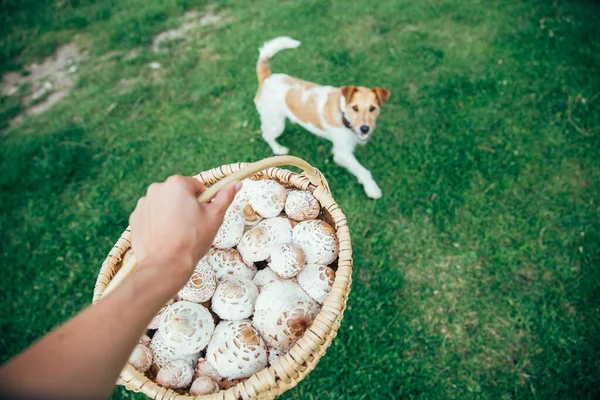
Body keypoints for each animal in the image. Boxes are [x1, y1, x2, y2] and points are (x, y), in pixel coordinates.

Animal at [254, 36, 392, 199]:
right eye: (355, 108)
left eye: (372, 108)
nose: (365, 129)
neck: (343, 113)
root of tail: (266, 78)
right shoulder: (341, 153)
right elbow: (363, 170)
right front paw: (372, 188)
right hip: (277, 124)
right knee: (266, 134)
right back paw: (278, 149)